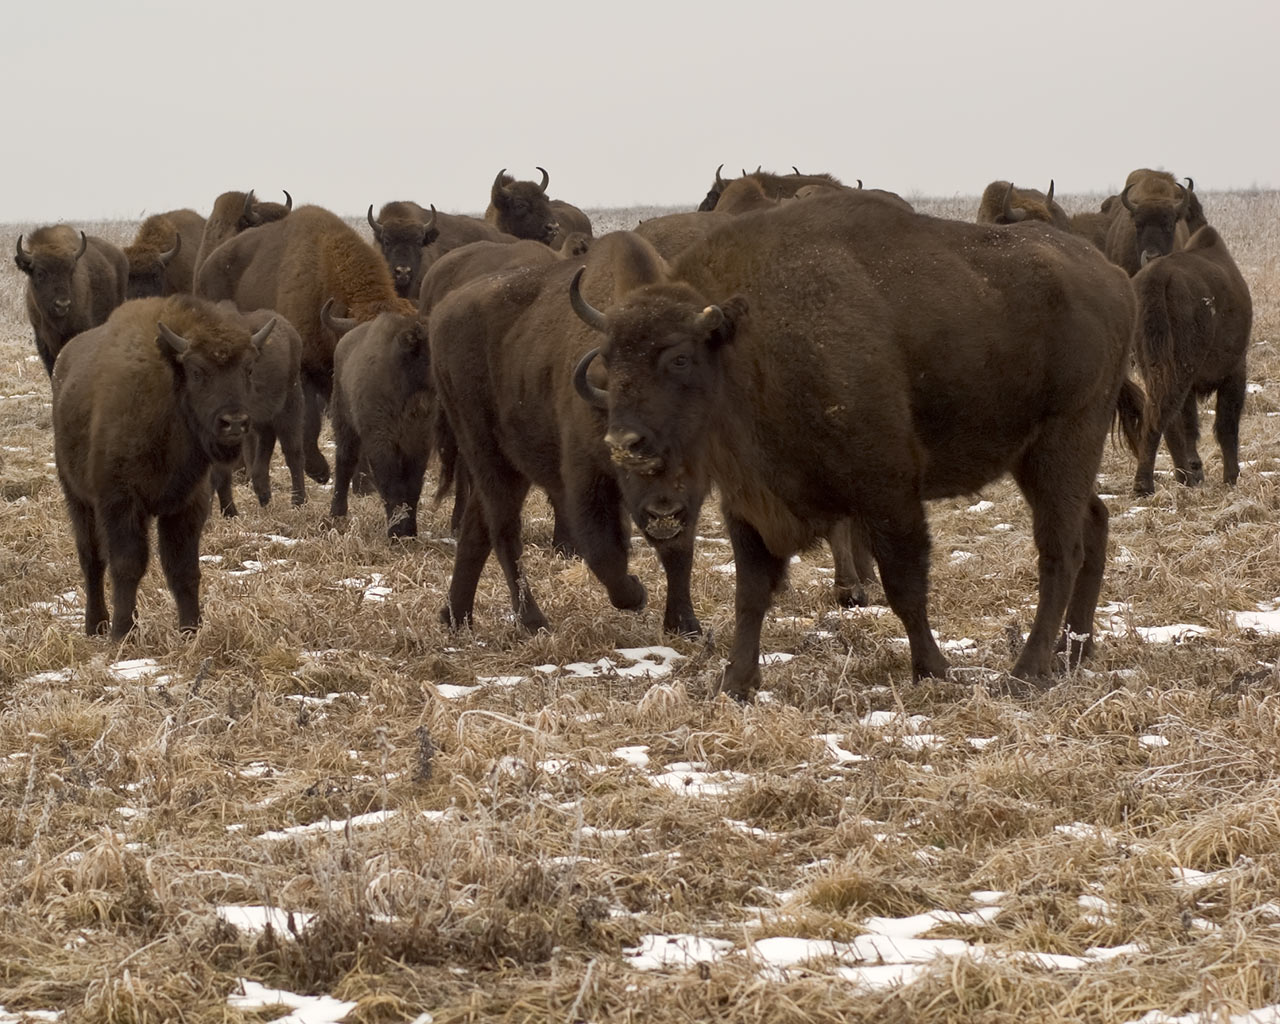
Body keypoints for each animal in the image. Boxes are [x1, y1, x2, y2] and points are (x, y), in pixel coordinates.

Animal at [52, 291, 272, 640]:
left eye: (248, 369)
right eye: (197, 371)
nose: (234, 423)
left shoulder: (187, 505)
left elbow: (183, 569)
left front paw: (191, 631)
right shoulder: (120, 503)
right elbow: (127, 565)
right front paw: (122, 633)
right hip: (76, 497)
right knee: (92, 560)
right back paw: (96, 625)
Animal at [570, 188, 1141, 701]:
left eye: (679, 357)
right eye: (611, 357)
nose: (623, 442)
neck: (745, 344)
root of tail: (1112, 278)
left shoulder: (888, 493)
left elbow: (905, 586)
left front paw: (934, 672)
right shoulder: (750, 505)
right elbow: (750, 595)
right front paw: (735, 684)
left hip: (1063, 444)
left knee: (1059, 551)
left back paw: (1027, 671)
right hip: (1040, 459)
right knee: (1093, 522)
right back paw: (1075, 652)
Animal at [1131, 224, 1249, 496]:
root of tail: (1157, 278)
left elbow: (1189, 426)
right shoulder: (1235, 370)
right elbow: (1226, 425)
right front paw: (1231, 477)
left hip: (1156, 366)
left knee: (1166, 418)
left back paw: (1182, 477)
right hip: (1180, 367)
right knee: (1159, 415)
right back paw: (1145, 484)